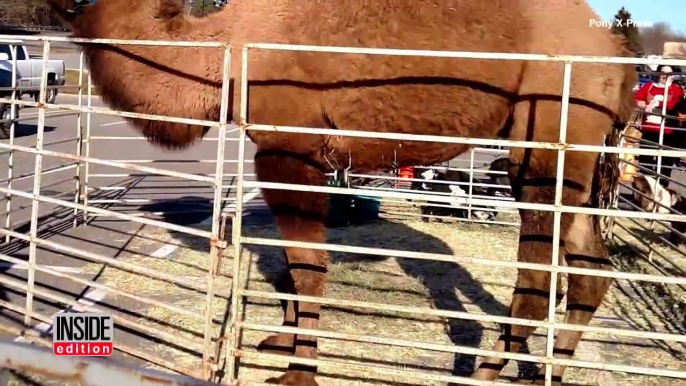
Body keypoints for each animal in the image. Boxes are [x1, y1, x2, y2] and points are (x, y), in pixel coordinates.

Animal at [43, 0, 636, 386]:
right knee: (590, 266)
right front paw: (280, 339)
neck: (229, 50)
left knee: (540, 271)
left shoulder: (287, 148)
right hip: (568, 149)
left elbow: (308, 267)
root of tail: (616, 52)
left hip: (550, 126)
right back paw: (548, 370)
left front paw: (297, 372)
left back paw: (487, 374)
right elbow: (292, 263)